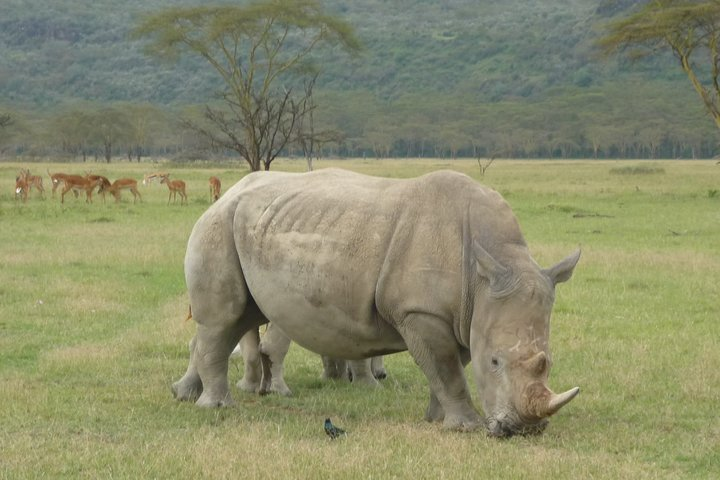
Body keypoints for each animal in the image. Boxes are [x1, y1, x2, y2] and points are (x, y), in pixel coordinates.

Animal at [173, 168, 580, 437]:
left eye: (549, 361)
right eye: (496, 362)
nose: (524, 430)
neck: (486, 269)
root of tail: (228, 193)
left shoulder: (462, 315)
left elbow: (451, 367)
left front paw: (436, 419)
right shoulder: (421, 311)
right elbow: (446, 368)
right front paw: (466, 427)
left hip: (257, 225)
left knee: (241, 317)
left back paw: (183, 395)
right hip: (217, 225)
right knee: (224, 320)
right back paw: (217, 407)